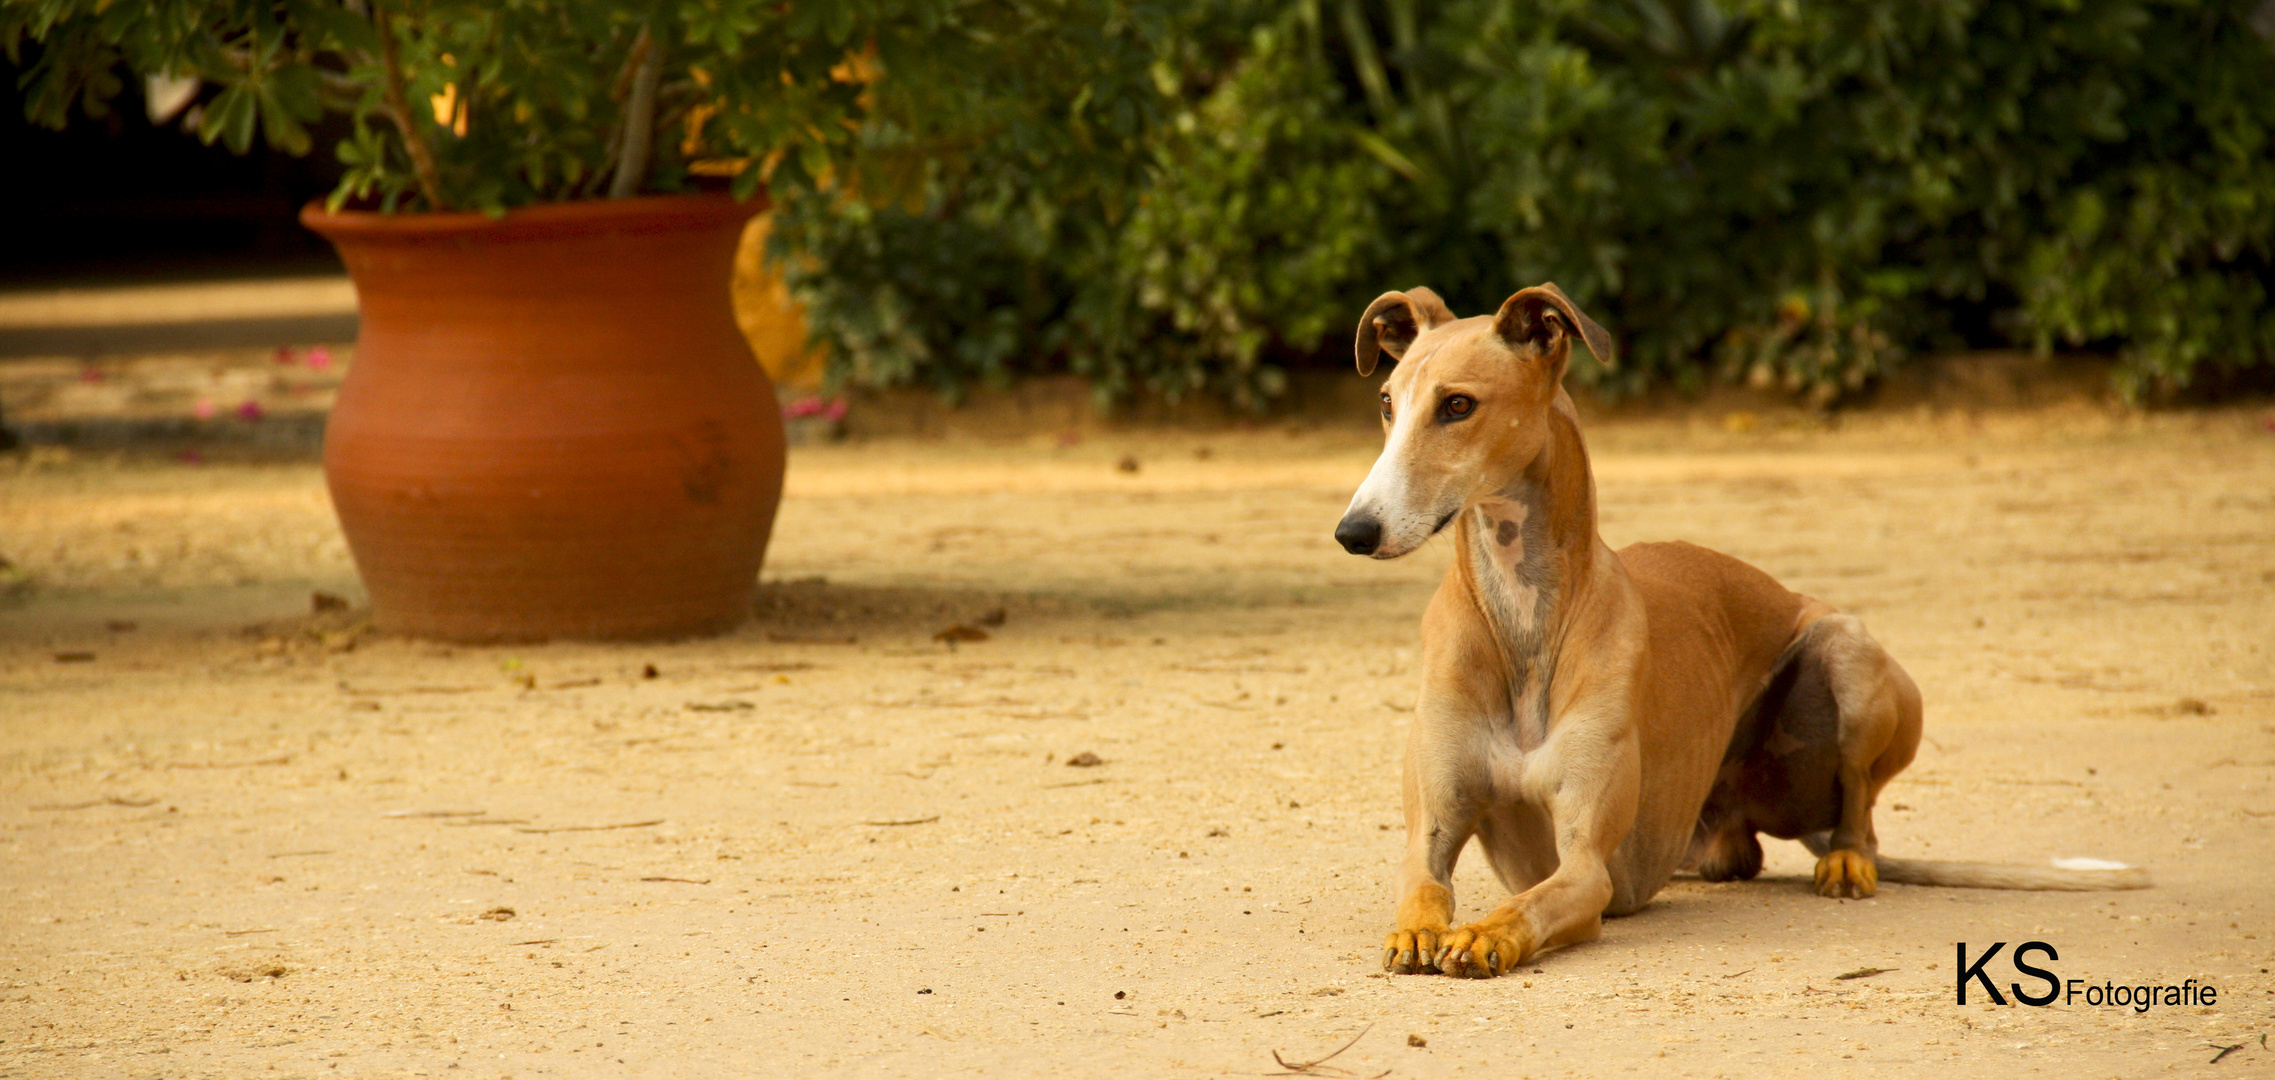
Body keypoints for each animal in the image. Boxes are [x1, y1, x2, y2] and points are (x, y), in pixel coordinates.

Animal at [1328, 283, 2147, 977]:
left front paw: (1484, 935)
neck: (1525, 623)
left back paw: (1846, 862)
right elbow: (1421, 884)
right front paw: (1420, 930)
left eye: (1457, 404)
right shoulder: (1434, 825)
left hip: (1847, 654)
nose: (1353, 532)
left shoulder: (1587, 863)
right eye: (1385, 402)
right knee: (1741, 853)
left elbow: (1532, 900)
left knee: (1859, 812)